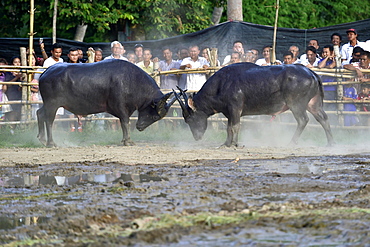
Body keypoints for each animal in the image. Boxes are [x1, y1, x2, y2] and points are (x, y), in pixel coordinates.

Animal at [37, 59, 175, 147]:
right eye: (154, 117)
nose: (140, 127)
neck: (133, 81)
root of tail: (45, 73)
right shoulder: (121, 108)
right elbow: (125, 123)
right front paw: (127, 141)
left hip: (47, 104)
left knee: (39, 113)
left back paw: (42, 139)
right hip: (52, 104)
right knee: (49, 120)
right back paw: (51, 143)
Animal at [175, 62, 334, 147]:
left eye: (189, 118)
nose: (197, 137)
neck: (221, 85)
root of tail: (311, 73)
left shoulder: (235, 109)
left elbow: (235, 126)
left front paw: (235, 143)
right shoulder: (229, 112)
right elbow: (228, 128)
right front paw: (226, 143)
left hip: (296, 104)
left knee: (303, 120)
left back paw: (291, 142)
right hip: (314, 104)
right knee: (323, 119)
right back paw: (330, 143)